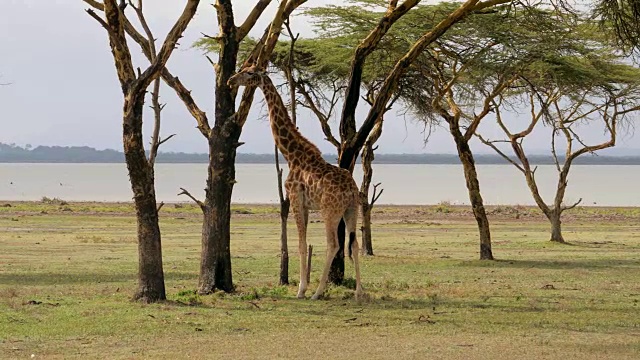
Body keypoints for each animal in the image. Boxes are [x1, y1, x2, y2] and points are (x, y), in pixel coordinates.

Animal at [228, 64, 362, 298]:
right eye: (243, 68)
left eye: (250, 72)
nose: (230, 81)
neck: (291, 155)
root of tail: (352, 191)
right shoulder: (306, 205)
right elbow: (304, 241)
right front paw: (303, 286)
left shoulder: (294, 198)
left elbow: (301, 243)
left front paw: (301, 289)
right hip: (351, 209)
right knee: (354, 244)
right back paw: (359, 292)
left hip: (330, 210)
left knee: (333, 244)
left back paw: (318, 292)